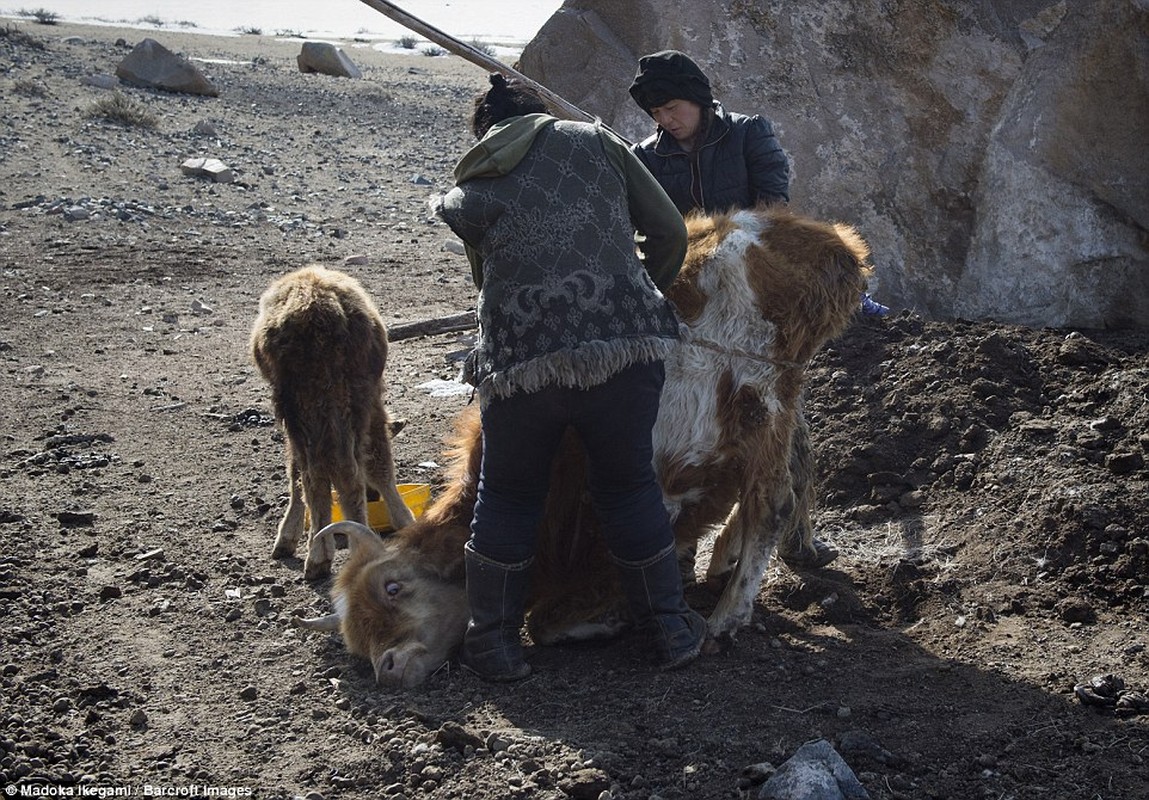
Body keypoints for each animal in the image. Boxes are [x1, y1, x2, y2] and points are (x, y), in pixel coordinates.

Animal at [296, 205, 868, 689]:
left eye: (393, 587)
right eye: (356, 635)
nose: (388, 667)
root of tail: (832, 242)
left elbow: (550, 619)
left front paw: (624, 618)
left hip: (759, 394)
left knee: (771, 502)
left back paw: (726, 619)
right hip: (778, 401)